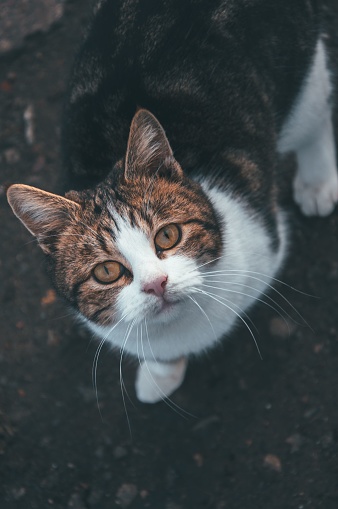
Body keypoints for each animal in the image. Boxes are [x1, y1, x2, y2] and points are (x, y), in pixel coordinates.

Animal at [5, 0, 338, 404]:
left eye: (168, 236)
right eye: (106, 271)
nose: (156, 284)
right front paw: (161, 373)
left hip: (296, 62)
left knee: (314, 108)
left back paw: (317, 180)